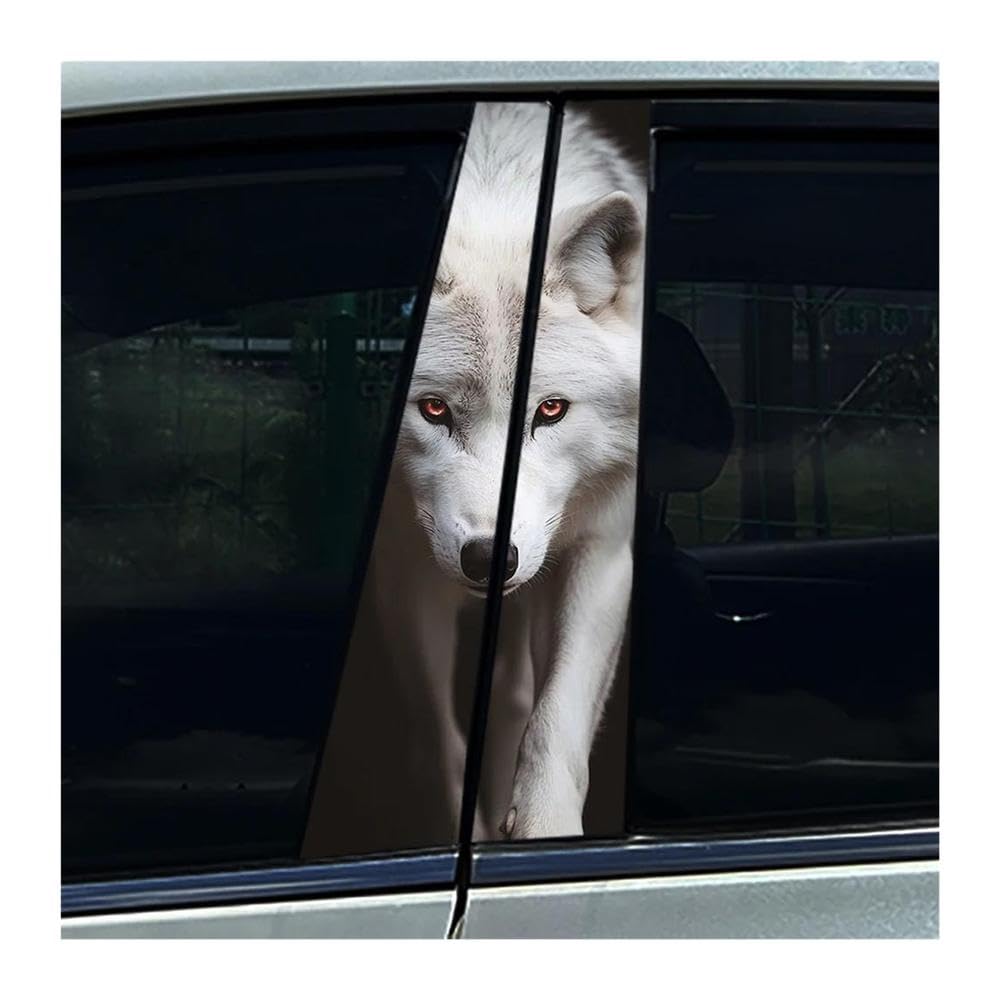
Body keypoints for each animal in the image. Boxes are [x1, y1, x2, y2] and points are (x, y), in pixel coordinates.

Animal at [372, 102, 644, 840]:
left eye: (550, 410)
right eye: (433, 409)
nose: (490, 559)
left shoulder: (602, 550)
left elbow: (557, 717)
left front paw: (543, 830)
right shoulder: (403, 573)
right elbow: (439, 743)